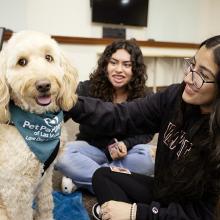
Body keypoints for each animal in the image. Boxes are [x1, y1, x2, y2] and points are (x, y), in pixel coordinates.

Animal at [0, 30, 78, 219]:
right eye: (22, 62)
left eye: (48, 57)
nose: (44, 85)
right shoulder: (15, 189)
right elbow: (22, 214)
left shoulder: (45, 177)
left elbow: (45, 204)